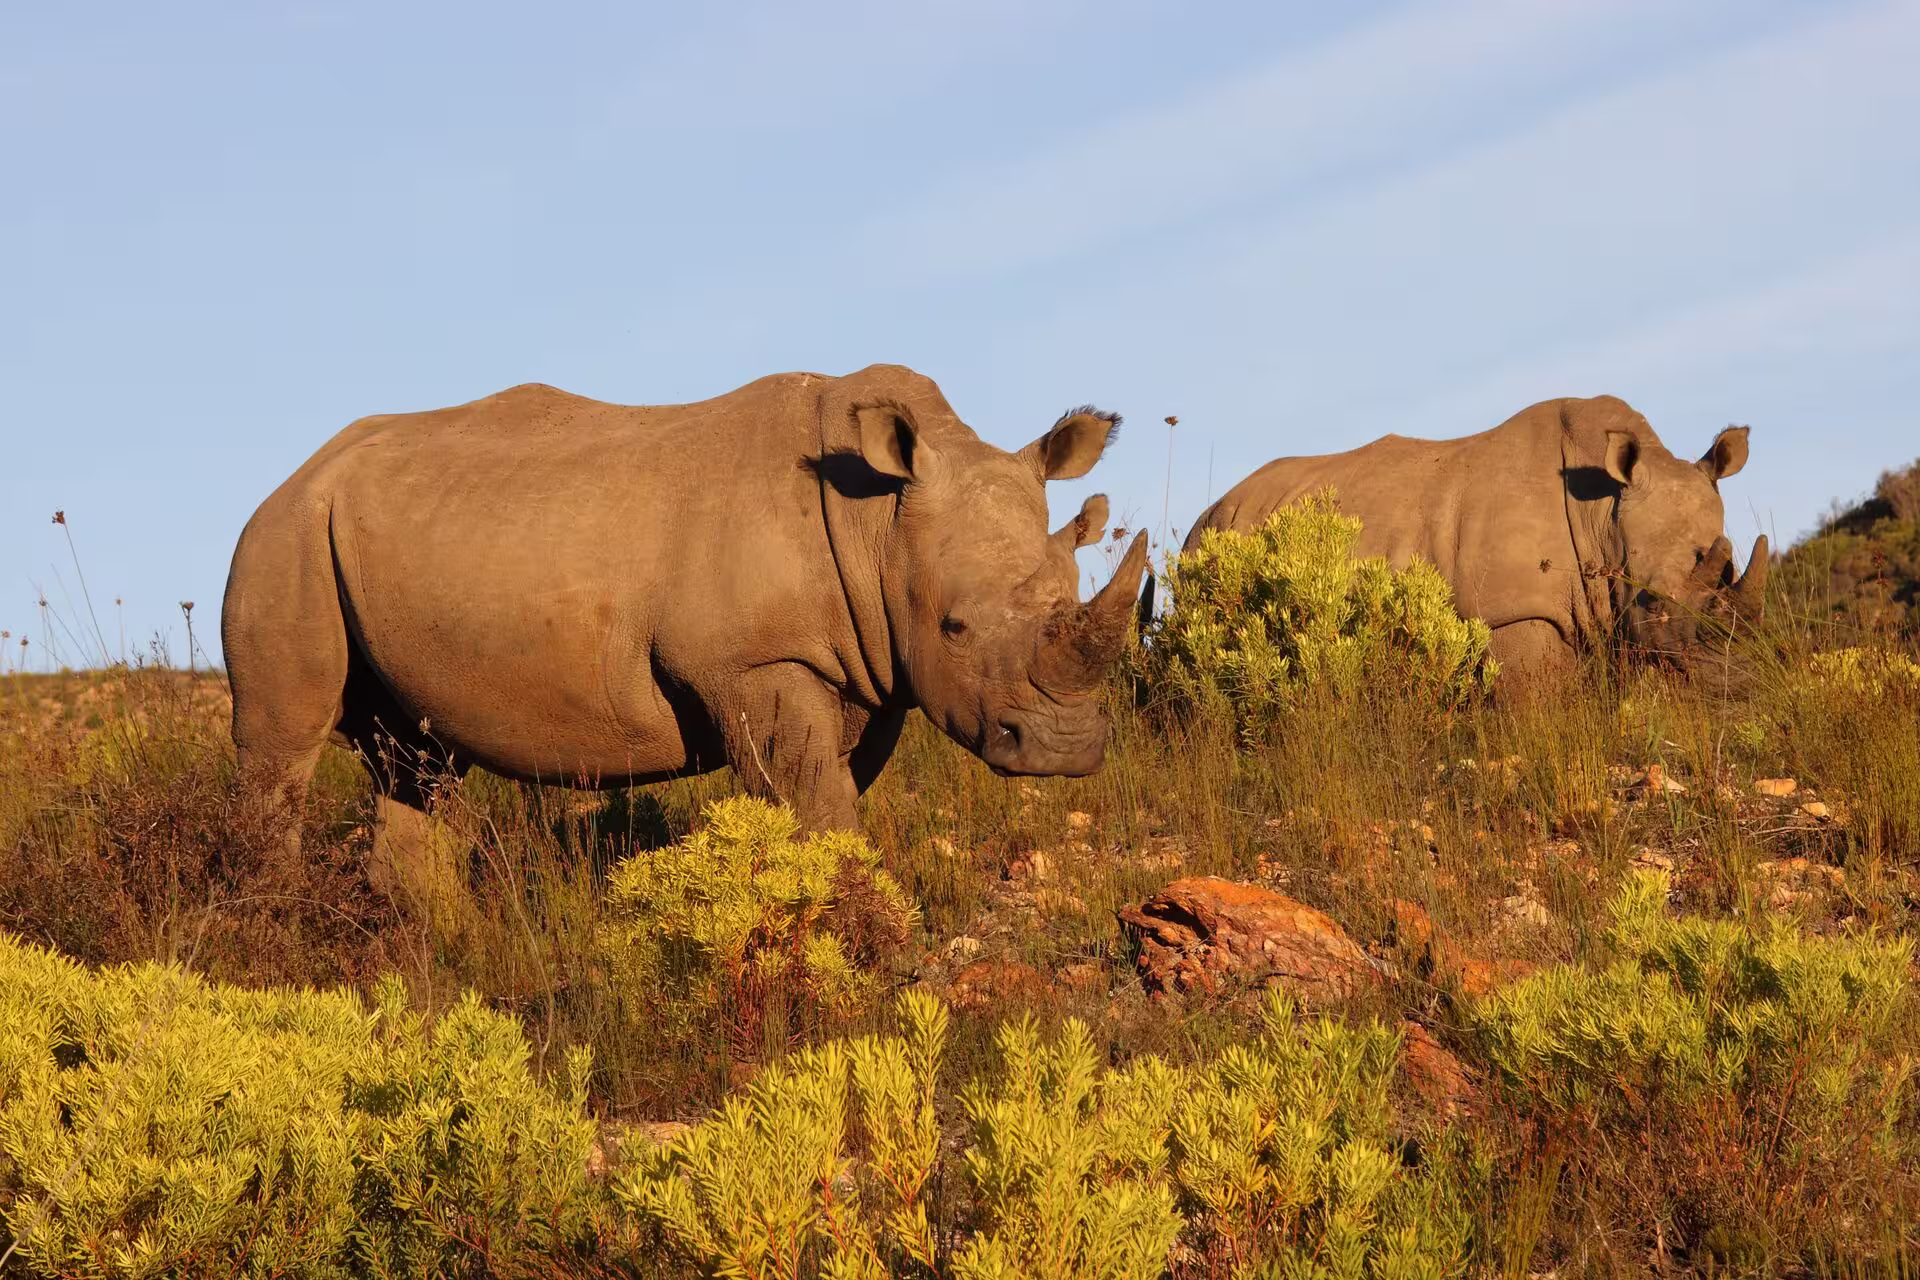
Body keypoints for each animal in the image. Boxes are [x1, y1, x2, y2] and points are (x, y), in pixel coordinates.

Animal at [223, 364, 1147, 906]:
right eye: (954, 625)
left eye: (1070, 591)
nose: (1062, 749)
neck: (880, 523)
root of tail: (297, 473)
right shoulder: (755, 659)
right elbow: (818, 802)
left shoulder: (870, 672)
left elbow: (828, 797)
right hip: (286, 535)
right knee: (286, 742)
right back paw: (273, 923)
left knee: (416, 761)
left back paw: (432, 944)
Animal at [1184, 395, 1766, 676]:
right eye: (1649, 596)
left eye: (1726, 571)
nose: (1711, 665)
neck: (1604, 512)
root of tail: (1212, 509)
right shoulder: (1516, 610)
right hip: (1212, 543)